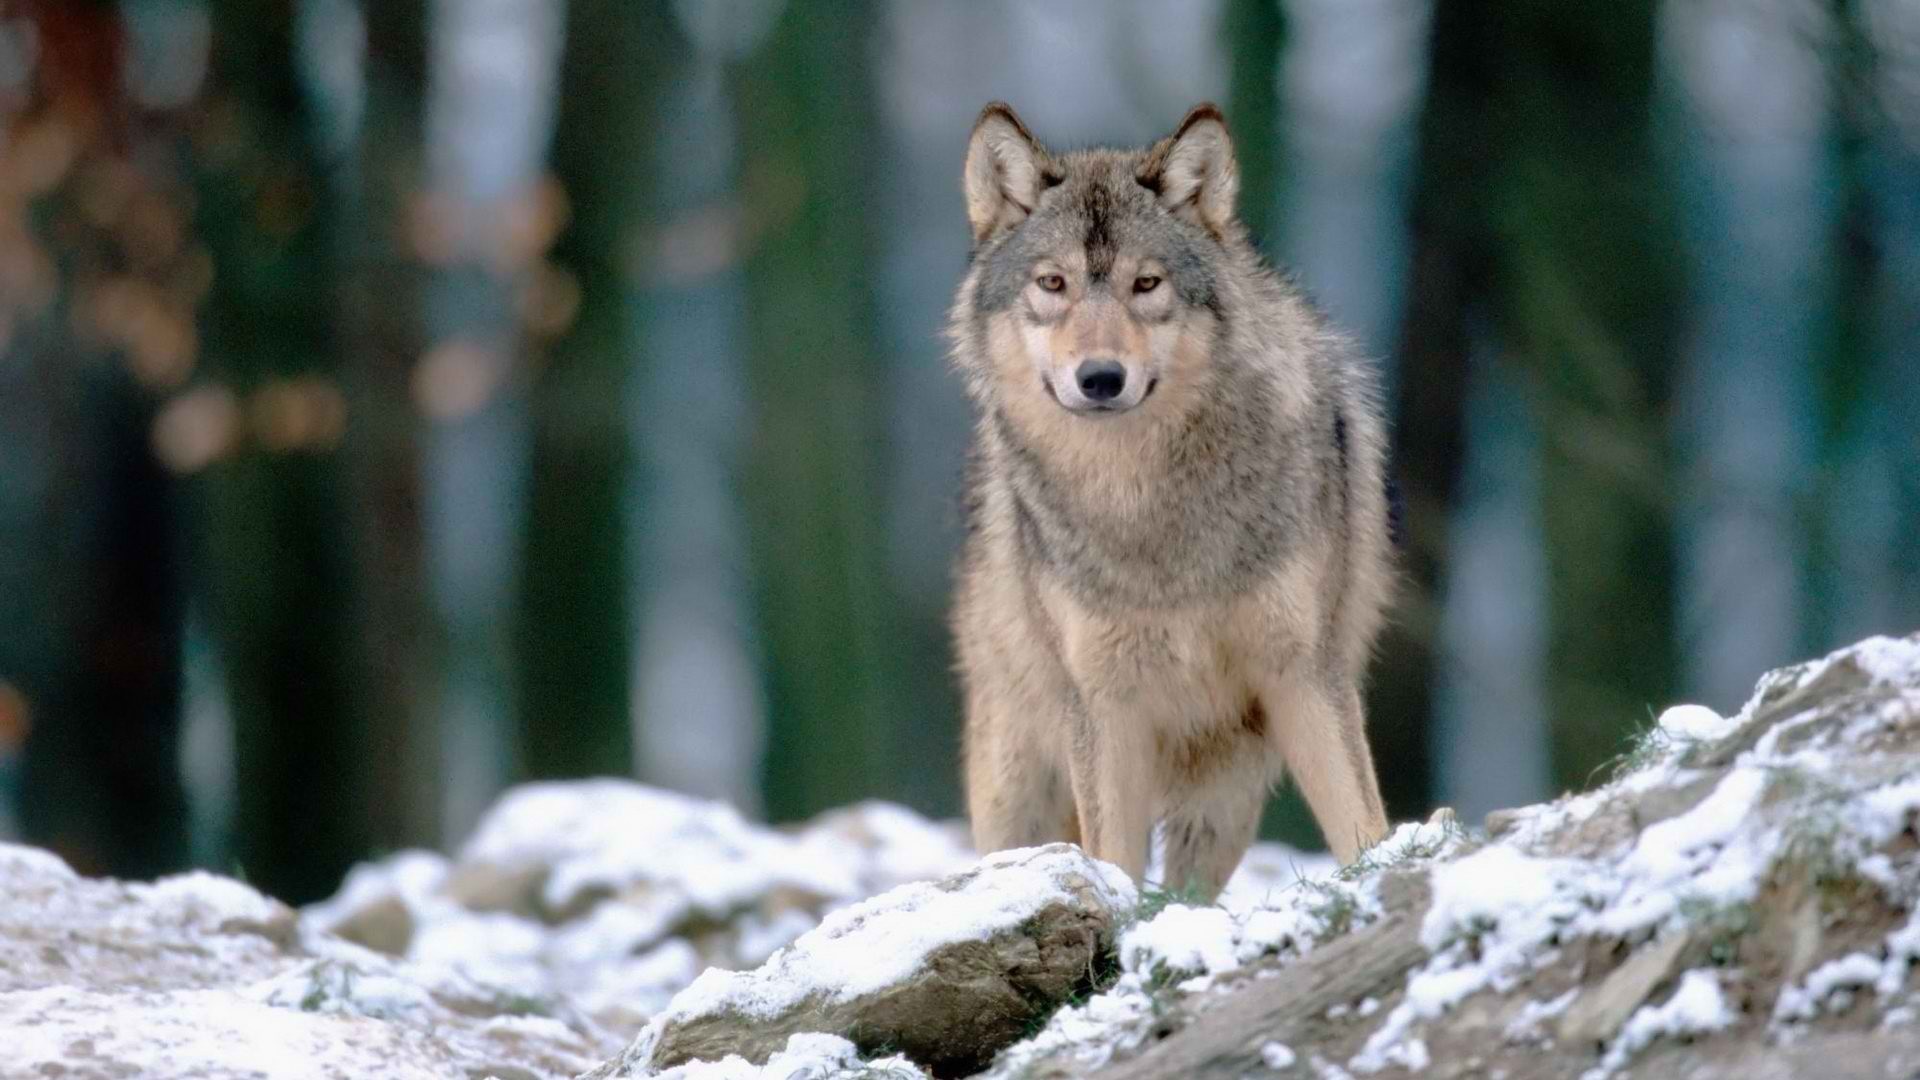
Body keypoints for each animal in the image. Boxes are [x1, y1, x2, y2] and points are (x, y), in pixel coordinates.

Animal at [949, 102, 1394, 894]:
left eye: (1147, 284)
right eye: (1053, 283)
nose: (1100, 378)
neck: (1146, 507)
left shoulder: (1305, 673)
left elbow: (1361, 824)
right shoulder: (1103, 705)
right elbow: (1114, 862)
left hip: (1223, 795)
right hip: (1018, 785)